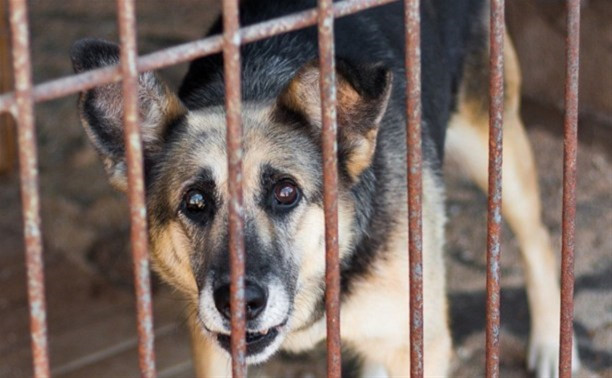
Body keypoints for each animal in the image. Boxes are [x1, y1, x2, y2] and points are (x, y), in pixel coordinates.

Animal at [70, 0, 580, 376]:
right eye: (195, 203)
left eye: (286, 193)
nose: (239, 304)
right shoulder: (213, 350)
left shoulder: (423, 344)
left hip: (492, 147)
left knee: (536, 239)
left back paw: (551, 343)